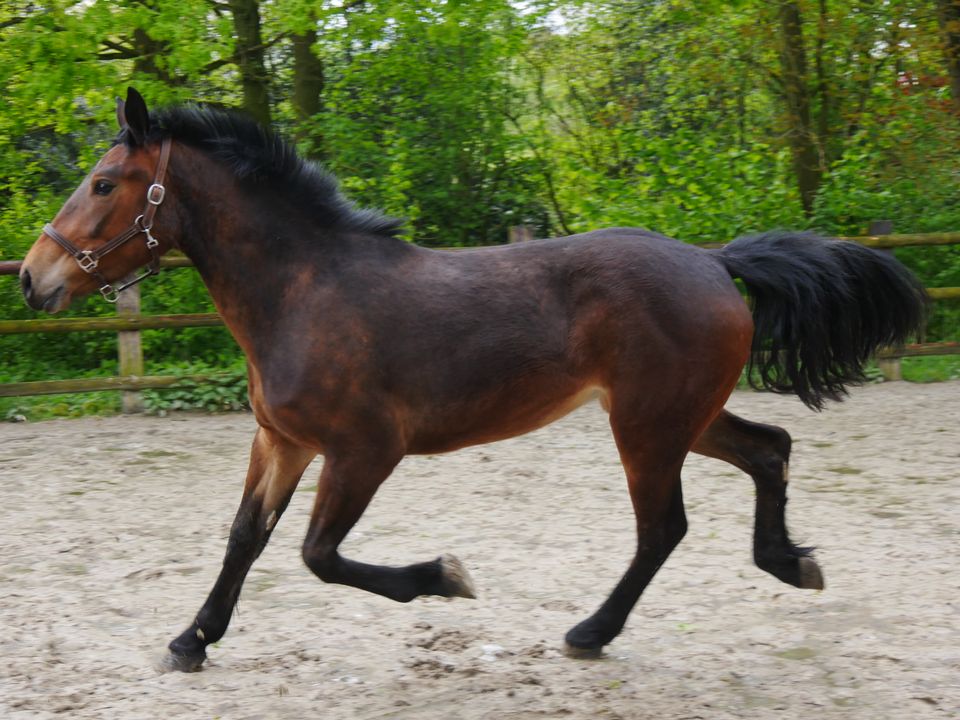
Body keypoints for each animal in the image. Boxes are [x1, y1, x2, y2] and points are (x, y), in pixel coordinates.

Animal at [20, 88, 924, 668]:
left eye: (103, 183)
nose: (33, 279)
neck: (303, 291)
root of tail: (712, 261)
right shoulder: (282, 441)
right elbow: (247, 537)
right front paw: (192, 639)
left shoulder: (365, 452)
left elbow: (318, 555)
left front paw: (444, 579)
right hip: (684, 417)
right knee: (771, 447)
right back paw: (789, 562)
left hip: (647, 426)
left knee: (663, 527)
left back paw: (591, 632)